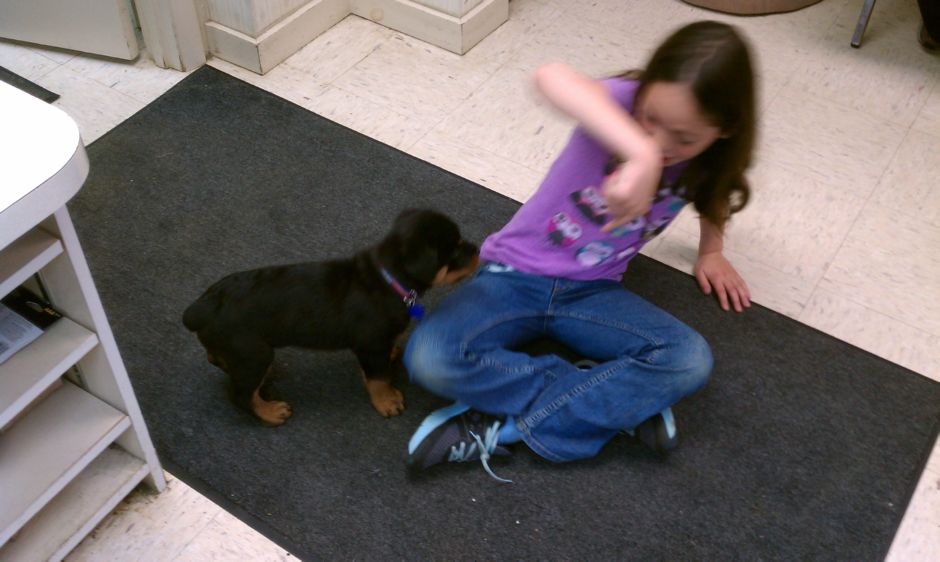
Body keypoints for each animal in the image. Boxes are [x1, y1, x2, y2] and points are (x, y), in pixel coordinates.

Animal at [182, 209, 479, 426]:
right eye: (454, 250)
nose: (477, 249)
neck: (389, 278)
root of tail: (201, 308)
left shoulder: (374, 346)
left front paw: (393, 352)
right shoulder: (370, 345)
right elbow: (378, 378)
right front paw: (387, 402)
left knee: (218, 361)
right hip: (252, 353)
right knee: (240, 395)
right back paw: (270, 412)